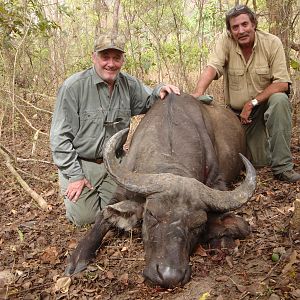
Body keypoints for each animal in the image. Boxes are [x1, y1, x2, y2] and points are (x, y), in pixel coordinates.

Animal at [65, 93, 255, 288]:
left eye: (198, 224)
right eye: (151, 215)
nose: (168, 275)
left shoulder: (217, 182)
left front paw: (223, 239)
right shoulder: (121, 190)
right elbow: (102, 218)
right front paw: (78, 258)